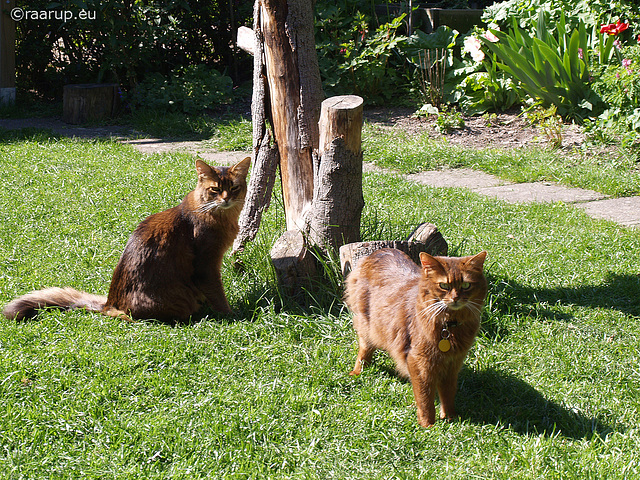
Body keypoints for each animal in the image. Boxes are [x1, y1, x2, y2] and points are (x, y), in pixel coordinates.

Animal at [3, 158, 251, 322]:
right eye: (215, 189)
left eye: (234, 188)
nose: (226, 200)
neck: (220, 216)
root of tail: (110, 303)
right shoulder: (206, 265)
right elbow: (217, 293)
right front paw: (231, 314)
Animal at [348, 248, 488, 428]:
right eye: (444, 286)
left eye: (466, 285)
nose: (455, 298)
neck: (449, 326)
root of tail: (381, 250)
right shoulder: (419, 361)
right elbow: (425, 397)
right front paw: (428, 425)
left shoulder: (453, 363)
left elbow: (448, 393)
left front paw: (450, 418)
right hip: (367, 324)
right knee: (364, 349)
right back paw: (358, 371)